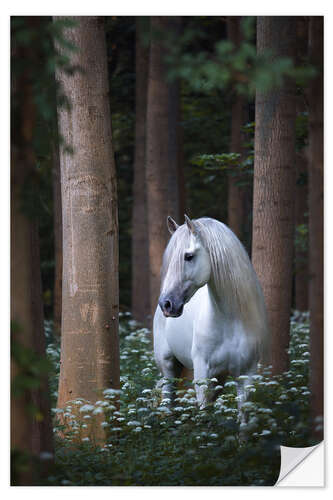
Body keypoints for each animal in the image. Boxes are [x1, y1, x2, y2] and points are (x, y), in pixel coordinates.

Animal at [153, 217, 270, 408]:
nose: (166, 304)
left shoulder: (246, 376)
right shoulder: (203, 376)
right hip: (168, 367)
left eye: (188, 256)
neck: (230, 321)